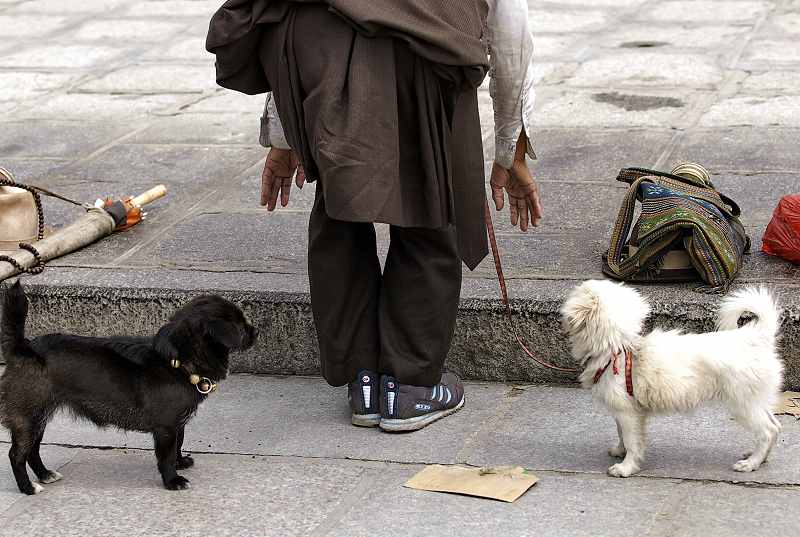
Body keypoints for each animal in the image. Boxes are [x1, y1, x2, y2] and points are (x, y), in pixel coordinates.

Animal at [0, 280, 255, 494]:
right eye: (241, 327)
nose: (256, 331)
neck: (177, 362)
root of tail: (24, 348)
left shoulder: (177, 424)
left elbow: (179, 444)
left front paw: (180, 462)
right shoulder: (166, 428)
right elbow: (166, 456)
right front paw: (172, 480)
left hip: (38, 418)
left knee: (32, 450)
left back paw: (44, 475)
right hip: (28, 418)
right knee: (17, 455)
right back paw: (27, 488)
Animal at [564, 280, 780, 478]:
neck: (617, 348)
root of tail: (755, 337)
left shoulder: (628, 413)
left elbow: (632, 441)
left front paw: (626, 467)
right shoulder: (623, 411)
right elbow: (621, 434)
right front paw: (619, 451)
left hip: (742, 403)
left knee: (767, 431)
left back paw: (751, 463)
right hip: (757, 399)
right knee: (775, 426)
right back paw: (760, 457)